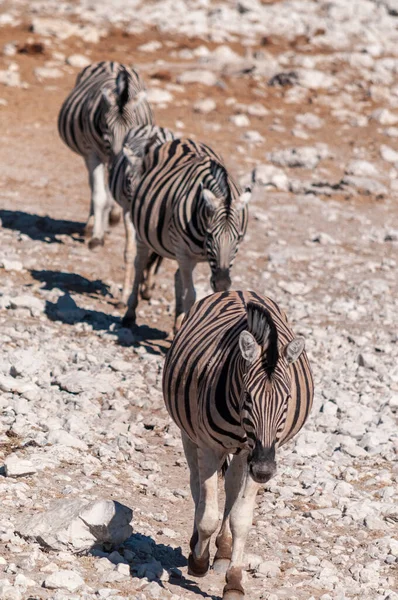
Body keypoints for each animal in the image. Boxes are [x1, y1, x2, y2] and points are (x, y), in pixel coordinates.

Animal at [57, 60, 152, 248]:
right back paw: (92, 223)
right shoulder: (93, 154)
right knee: (94, 186)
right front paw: (97, 236)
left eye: (132, 127)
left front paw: (111, 216)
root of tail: (112, 62)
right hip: (90, 155)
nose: (117, 159)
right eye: (107, 127)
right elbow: (99, 195)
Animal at [109, 125, 176, 308]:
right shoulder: (127, 211)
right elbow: (131, 252)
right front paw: (124, 297)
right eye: (129, 181)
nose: (139, 209)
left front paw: (146, 286)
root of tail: (157, 128)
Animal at [115, 138, 250, 330]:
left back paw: (177, 323)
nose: (223, 283)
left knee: (177, 275)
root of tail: (182, 139)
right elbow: (190, 296)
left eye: (237, 238)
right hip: (145, 235)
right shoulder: (184, 253)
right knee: (139, 264)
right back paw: (130, 313)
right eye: (210, 235)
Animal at [162, 288, 314, 596]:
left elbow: (241, 518)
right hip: (189, 435)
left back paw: (222, 551)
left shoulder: (254, 452)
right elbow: (207, 515)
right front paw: (198, 561)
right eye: (248, 398)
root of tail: (238, 290)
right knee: (196, 486)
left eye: (287, 400)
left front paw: (233, 580)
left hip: (243, 454)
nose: (265, 471)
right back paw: (197, 544)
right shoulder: (210, 448)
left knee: (231, 487)